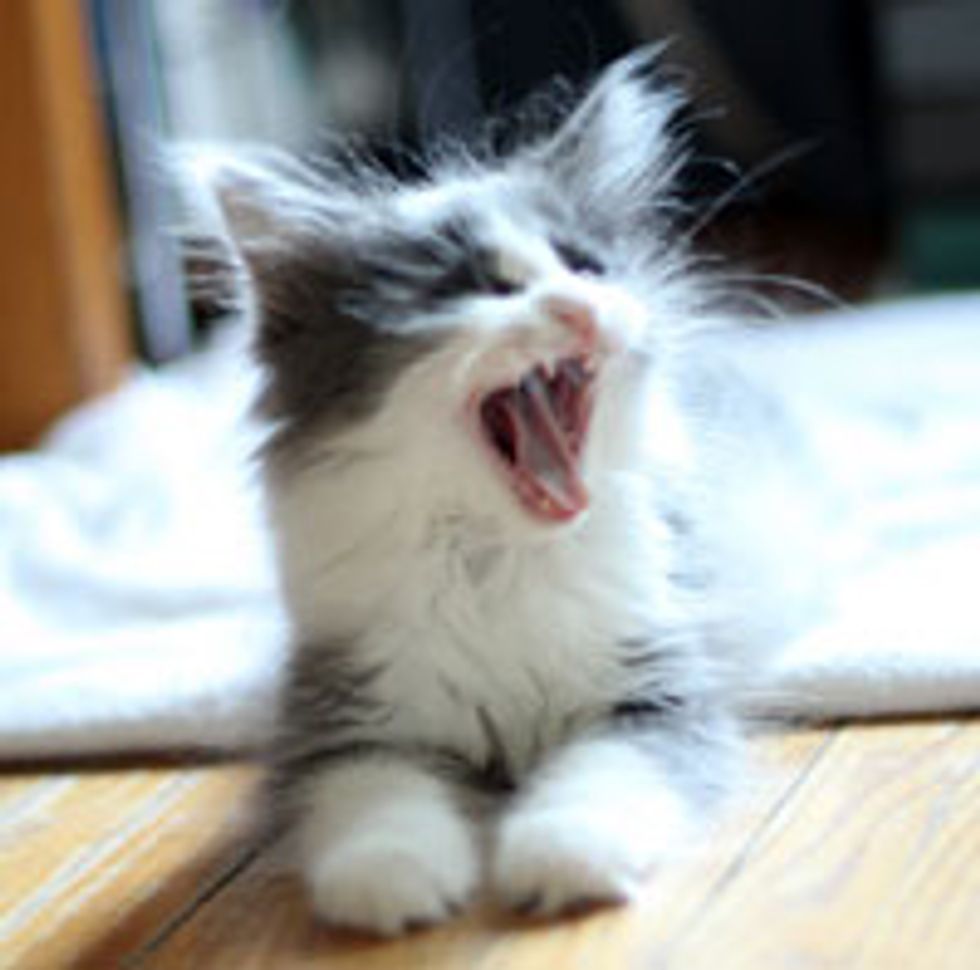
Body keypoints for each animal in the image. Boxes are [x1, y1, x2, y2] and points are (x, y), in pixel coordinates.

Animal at [203, 51, 808, 932]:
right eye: (476, 291)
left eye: (586, 268)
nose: (578, 307)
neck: (502, 557)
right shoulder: (346, 713)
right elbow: (371, 800)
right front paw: (393, 882)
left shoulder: (656, 686)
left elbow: (604, 774)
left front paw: (563, 857)